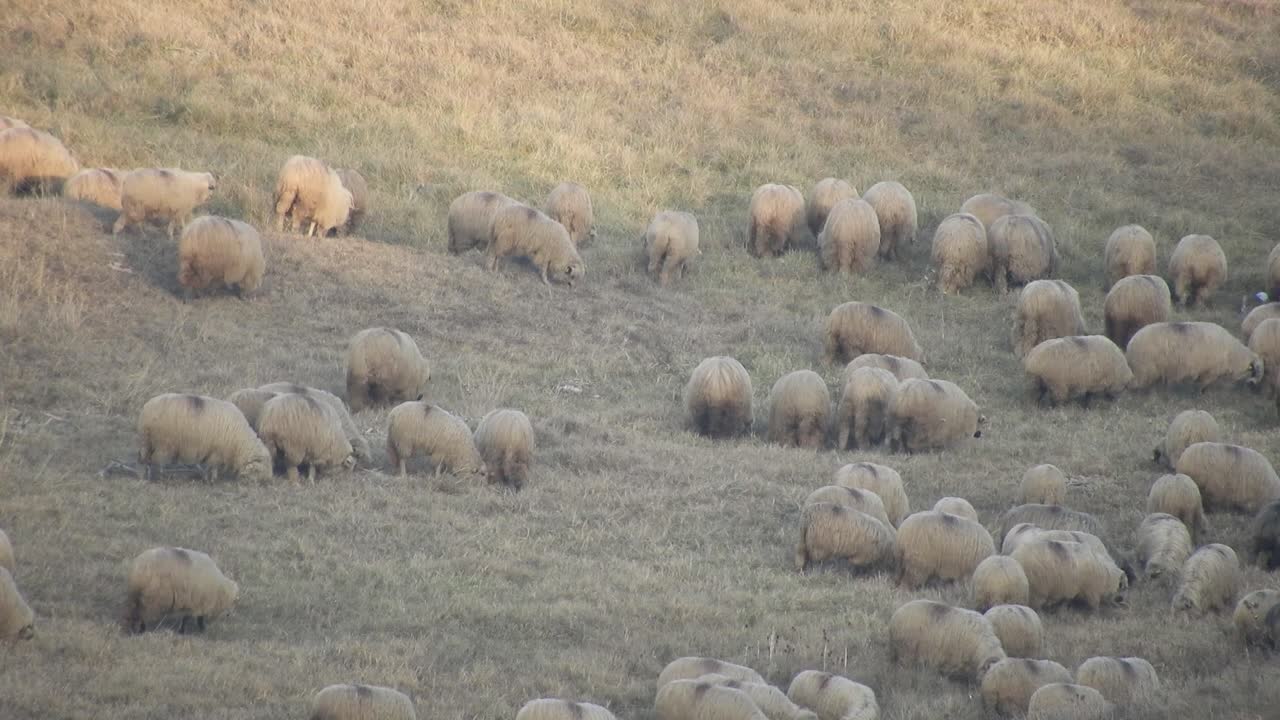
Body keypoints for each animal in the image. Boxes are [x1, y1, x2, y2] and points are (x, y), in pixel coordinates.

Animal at [137, 393, 271, 483]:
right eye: (259, 470)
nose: (266, 483)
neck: (239, 441)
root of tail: (147, 408)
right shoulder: (217, 451)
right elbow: (213, 466)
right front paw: (212, 479)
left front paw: (207, 477)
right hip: (163, 443)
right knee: (158, 460)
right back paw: (161, 477)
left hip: (148, 441)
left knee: (146, 460)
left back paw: (145, 476)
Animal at [1125, 321, 1263, 390]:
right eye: (1252, 371)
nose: (1250, 385)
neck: (1232, 353)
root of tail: (1131, 343)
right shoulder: (1210, 372)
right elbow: (1201, 386)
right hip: (1145, 370)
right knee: (1135, 385)